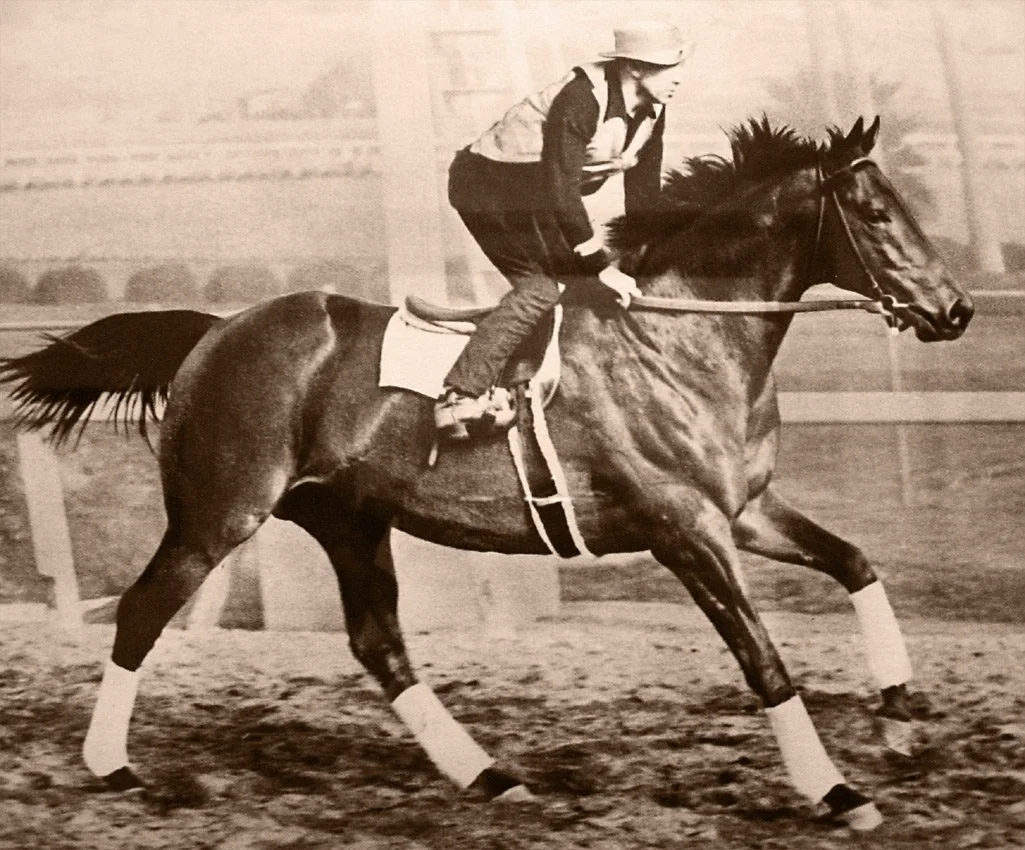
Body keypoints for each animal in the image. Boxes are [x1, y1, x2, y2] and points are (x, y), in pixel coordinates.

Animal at [0, 117, 973, 831]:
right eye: (876, 214)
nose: (955, 309)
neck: (679, 336)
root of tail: (214, 331)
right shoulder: (683, 529)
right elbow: (763, 660)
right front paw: (836, 791)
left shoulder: (744, 512)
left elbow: (855, 564)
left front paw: (896, 716)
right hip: (219, 515)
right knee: (141, 612)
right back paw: (110, 765)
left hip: (348, 518)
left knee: (379, 645)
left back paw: (488, 776)